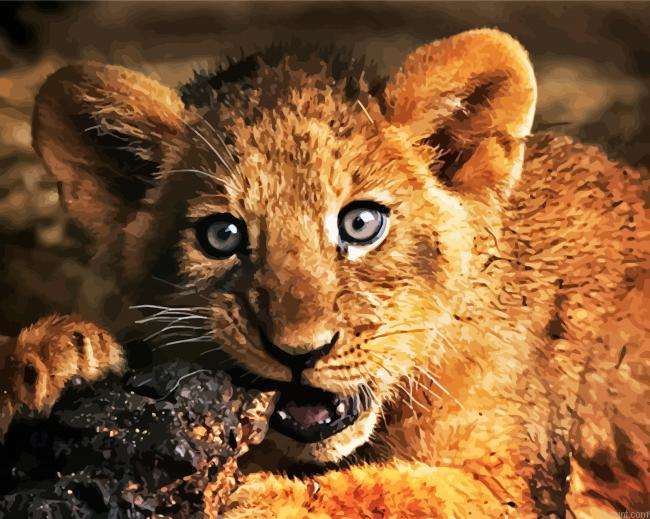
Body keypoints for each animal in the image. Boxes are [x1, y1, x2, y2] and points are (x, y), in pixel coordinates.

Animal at [1, 29, 648, 517]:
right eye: (222, 236)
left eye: (361, 224)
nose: (299, 351)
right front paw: (49, 359)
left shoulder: (517, 485)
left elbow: (397, 495)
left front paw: (257, 500)